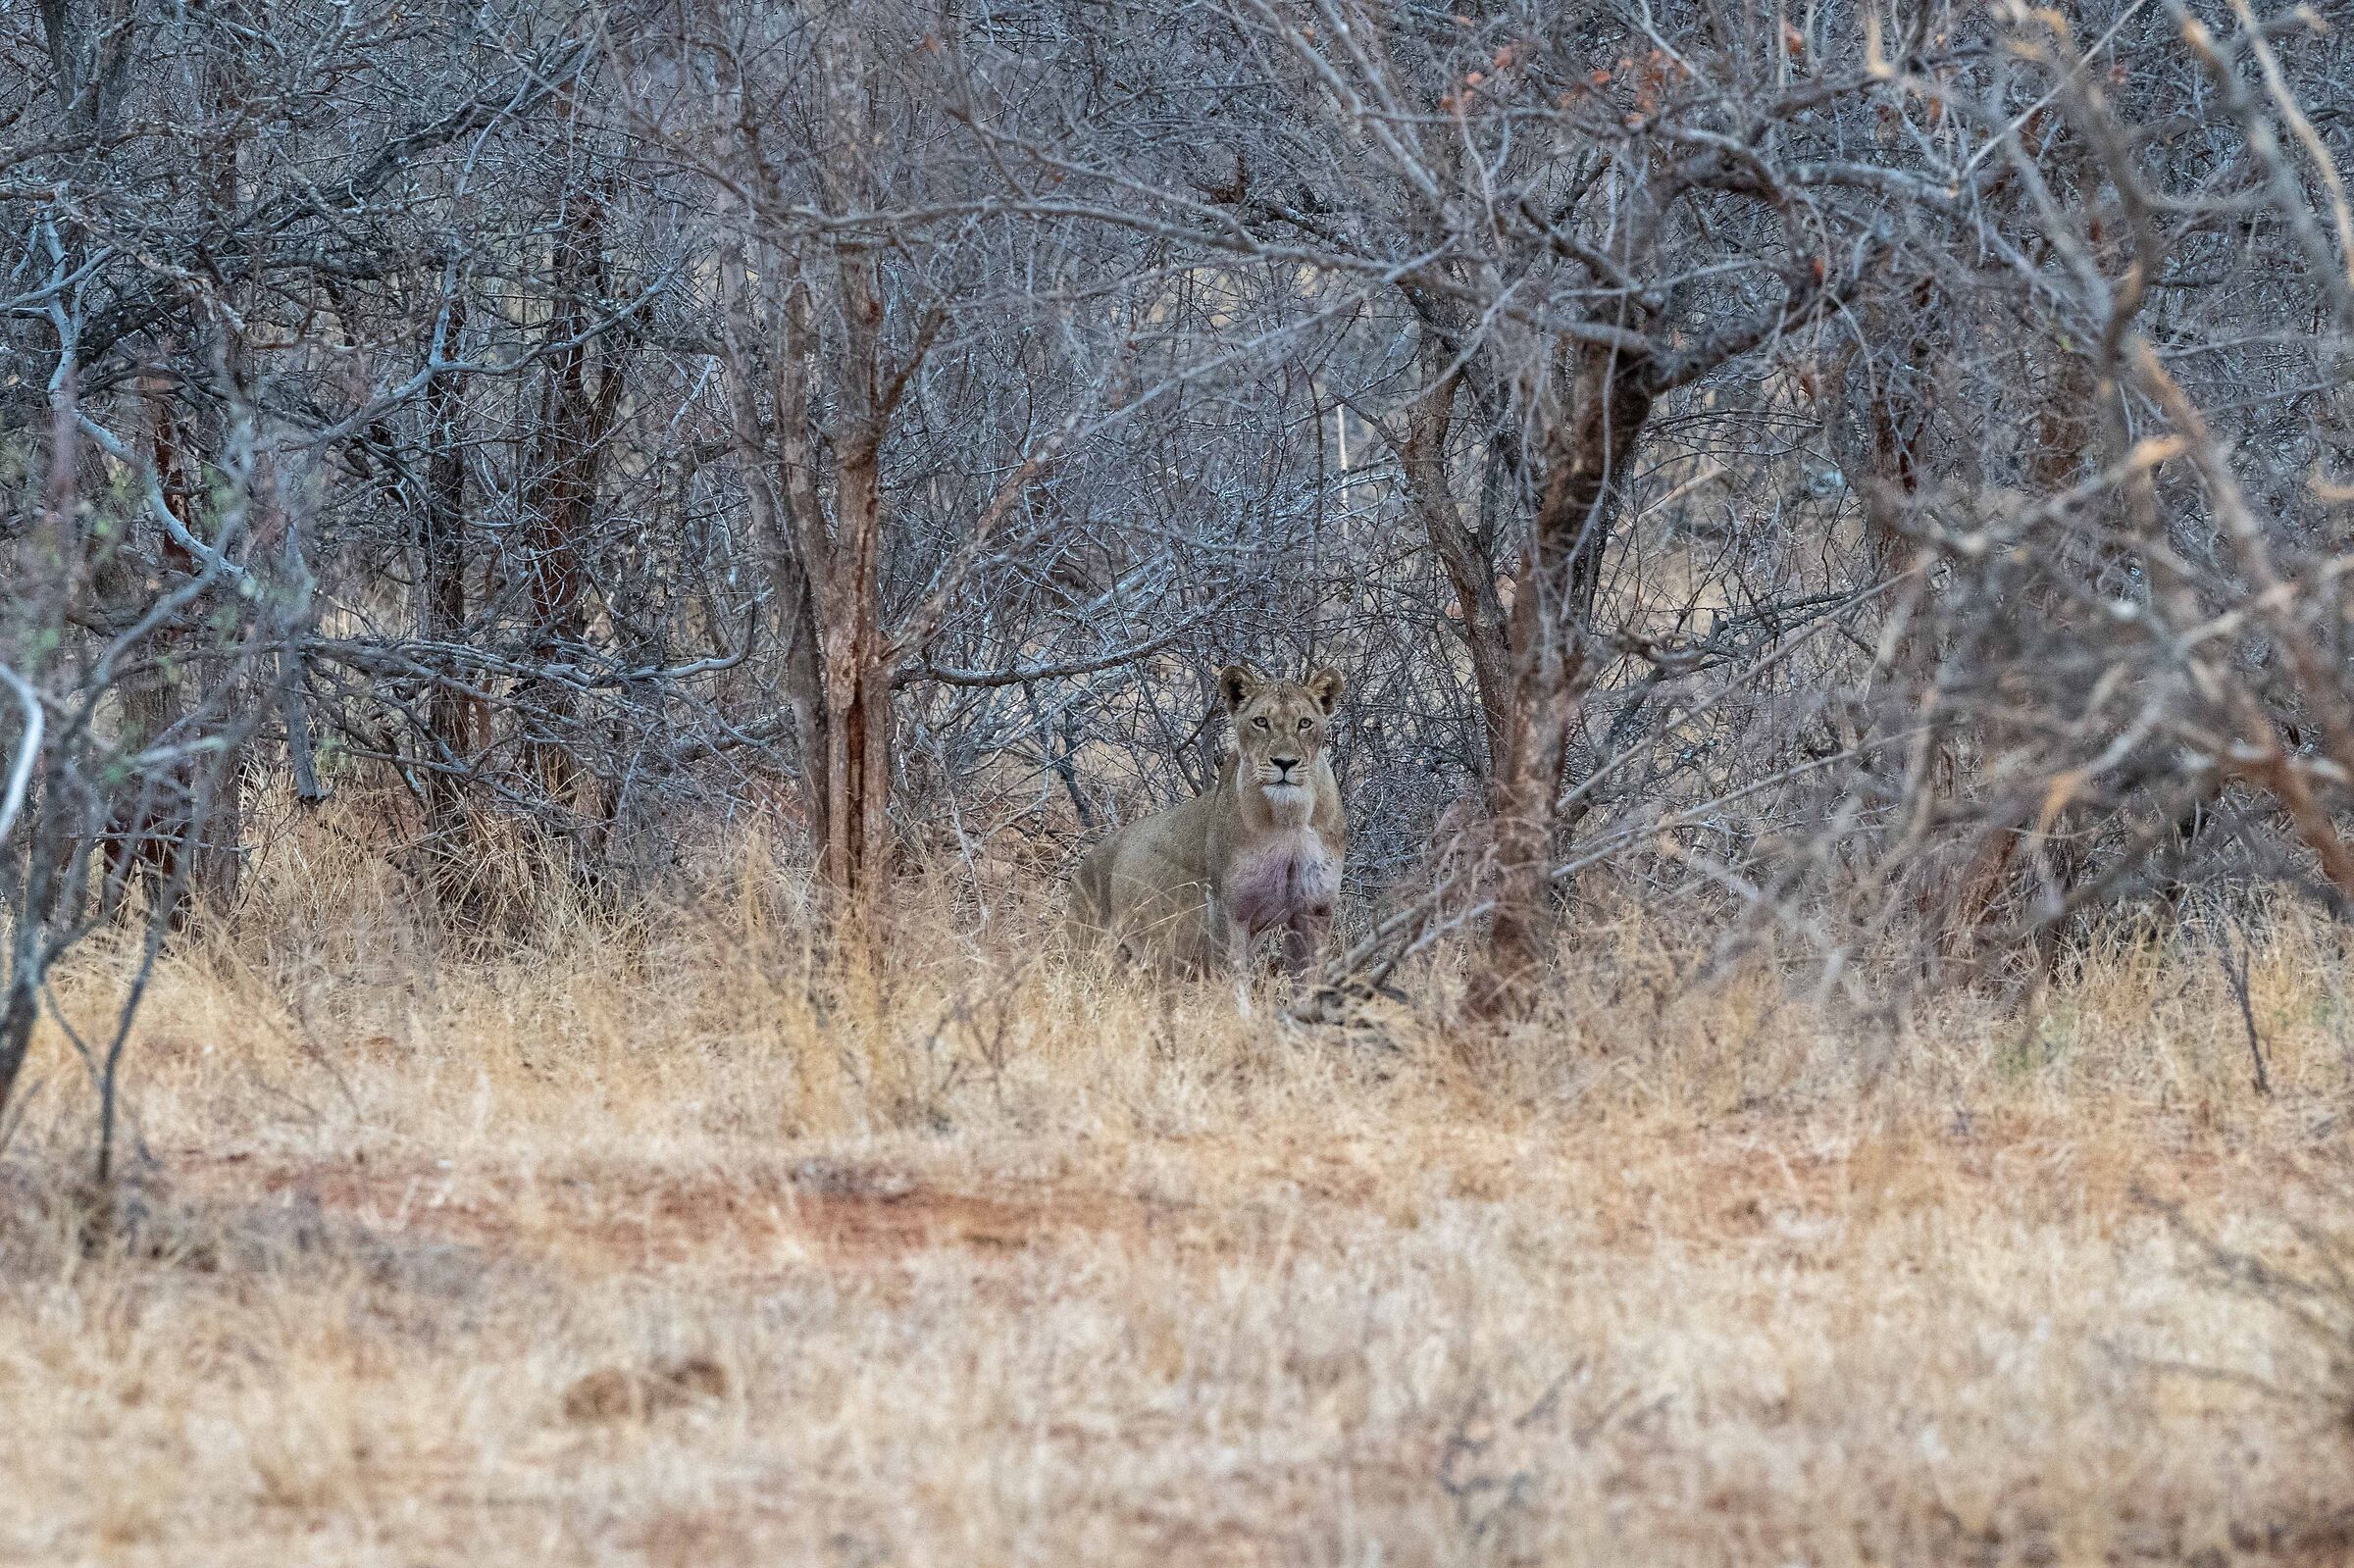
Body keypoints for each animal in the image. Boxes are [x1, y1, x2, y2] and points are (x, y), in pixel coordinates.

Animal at [1067, 664, 1347, 994]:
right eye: (1260, 722)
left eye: (1305, 723)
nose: (1285, 763)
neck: (1289, 817)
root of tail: (1088, 861)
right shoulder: (1228, 908)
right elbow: (1234, 982)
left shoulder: (1314, 910)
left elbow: (1308, 984)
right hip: (1089, 950)